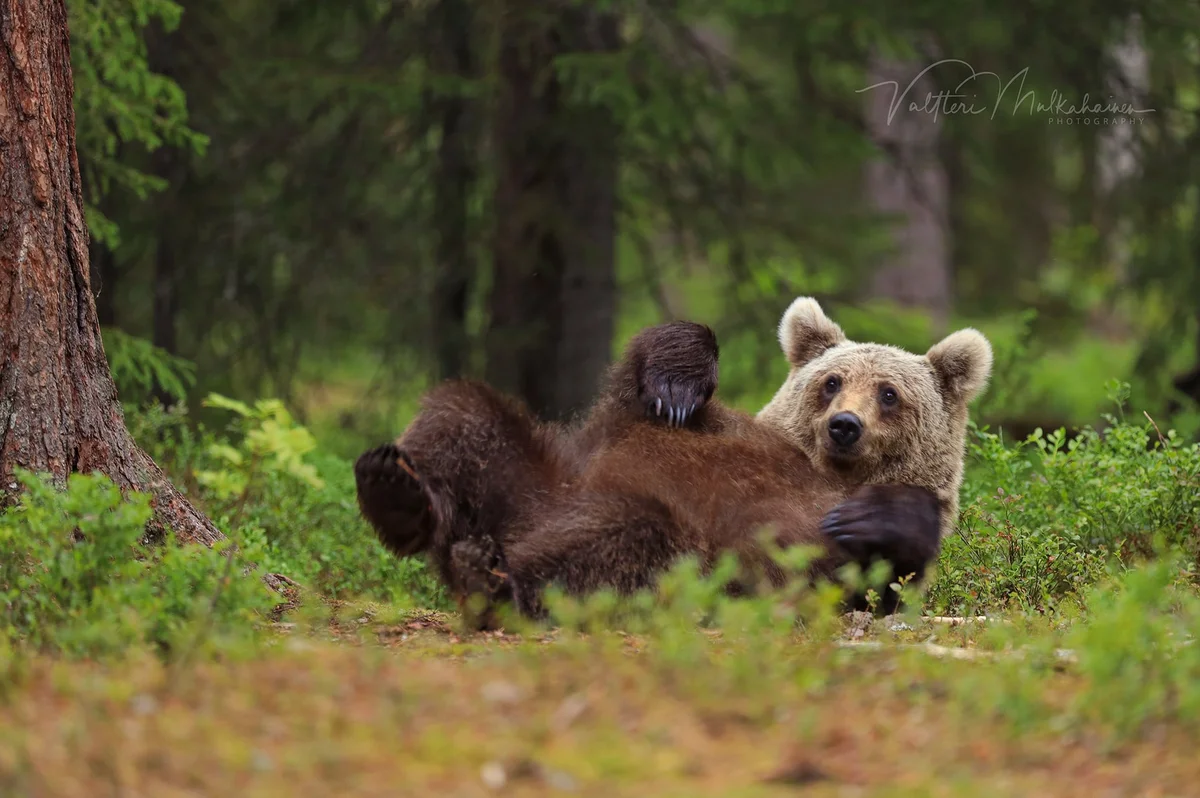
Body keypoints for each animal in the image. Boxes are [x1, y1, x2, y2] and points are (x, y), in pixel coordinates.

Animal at [355, 295, 993, 619]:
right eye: (831, 381)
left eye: (889, 393)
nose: (844, 426)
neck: (821, 470)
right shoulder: (649, 425)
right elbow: (655, 369)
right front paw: (678, 384)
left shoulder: (814, 559)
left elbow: (876, 575)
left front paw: (870, 515)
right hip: (536, 467)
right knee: (464, 414)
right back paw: (396, 490)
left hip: (673, 546)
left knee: (626, 536)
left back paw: (492, 581)